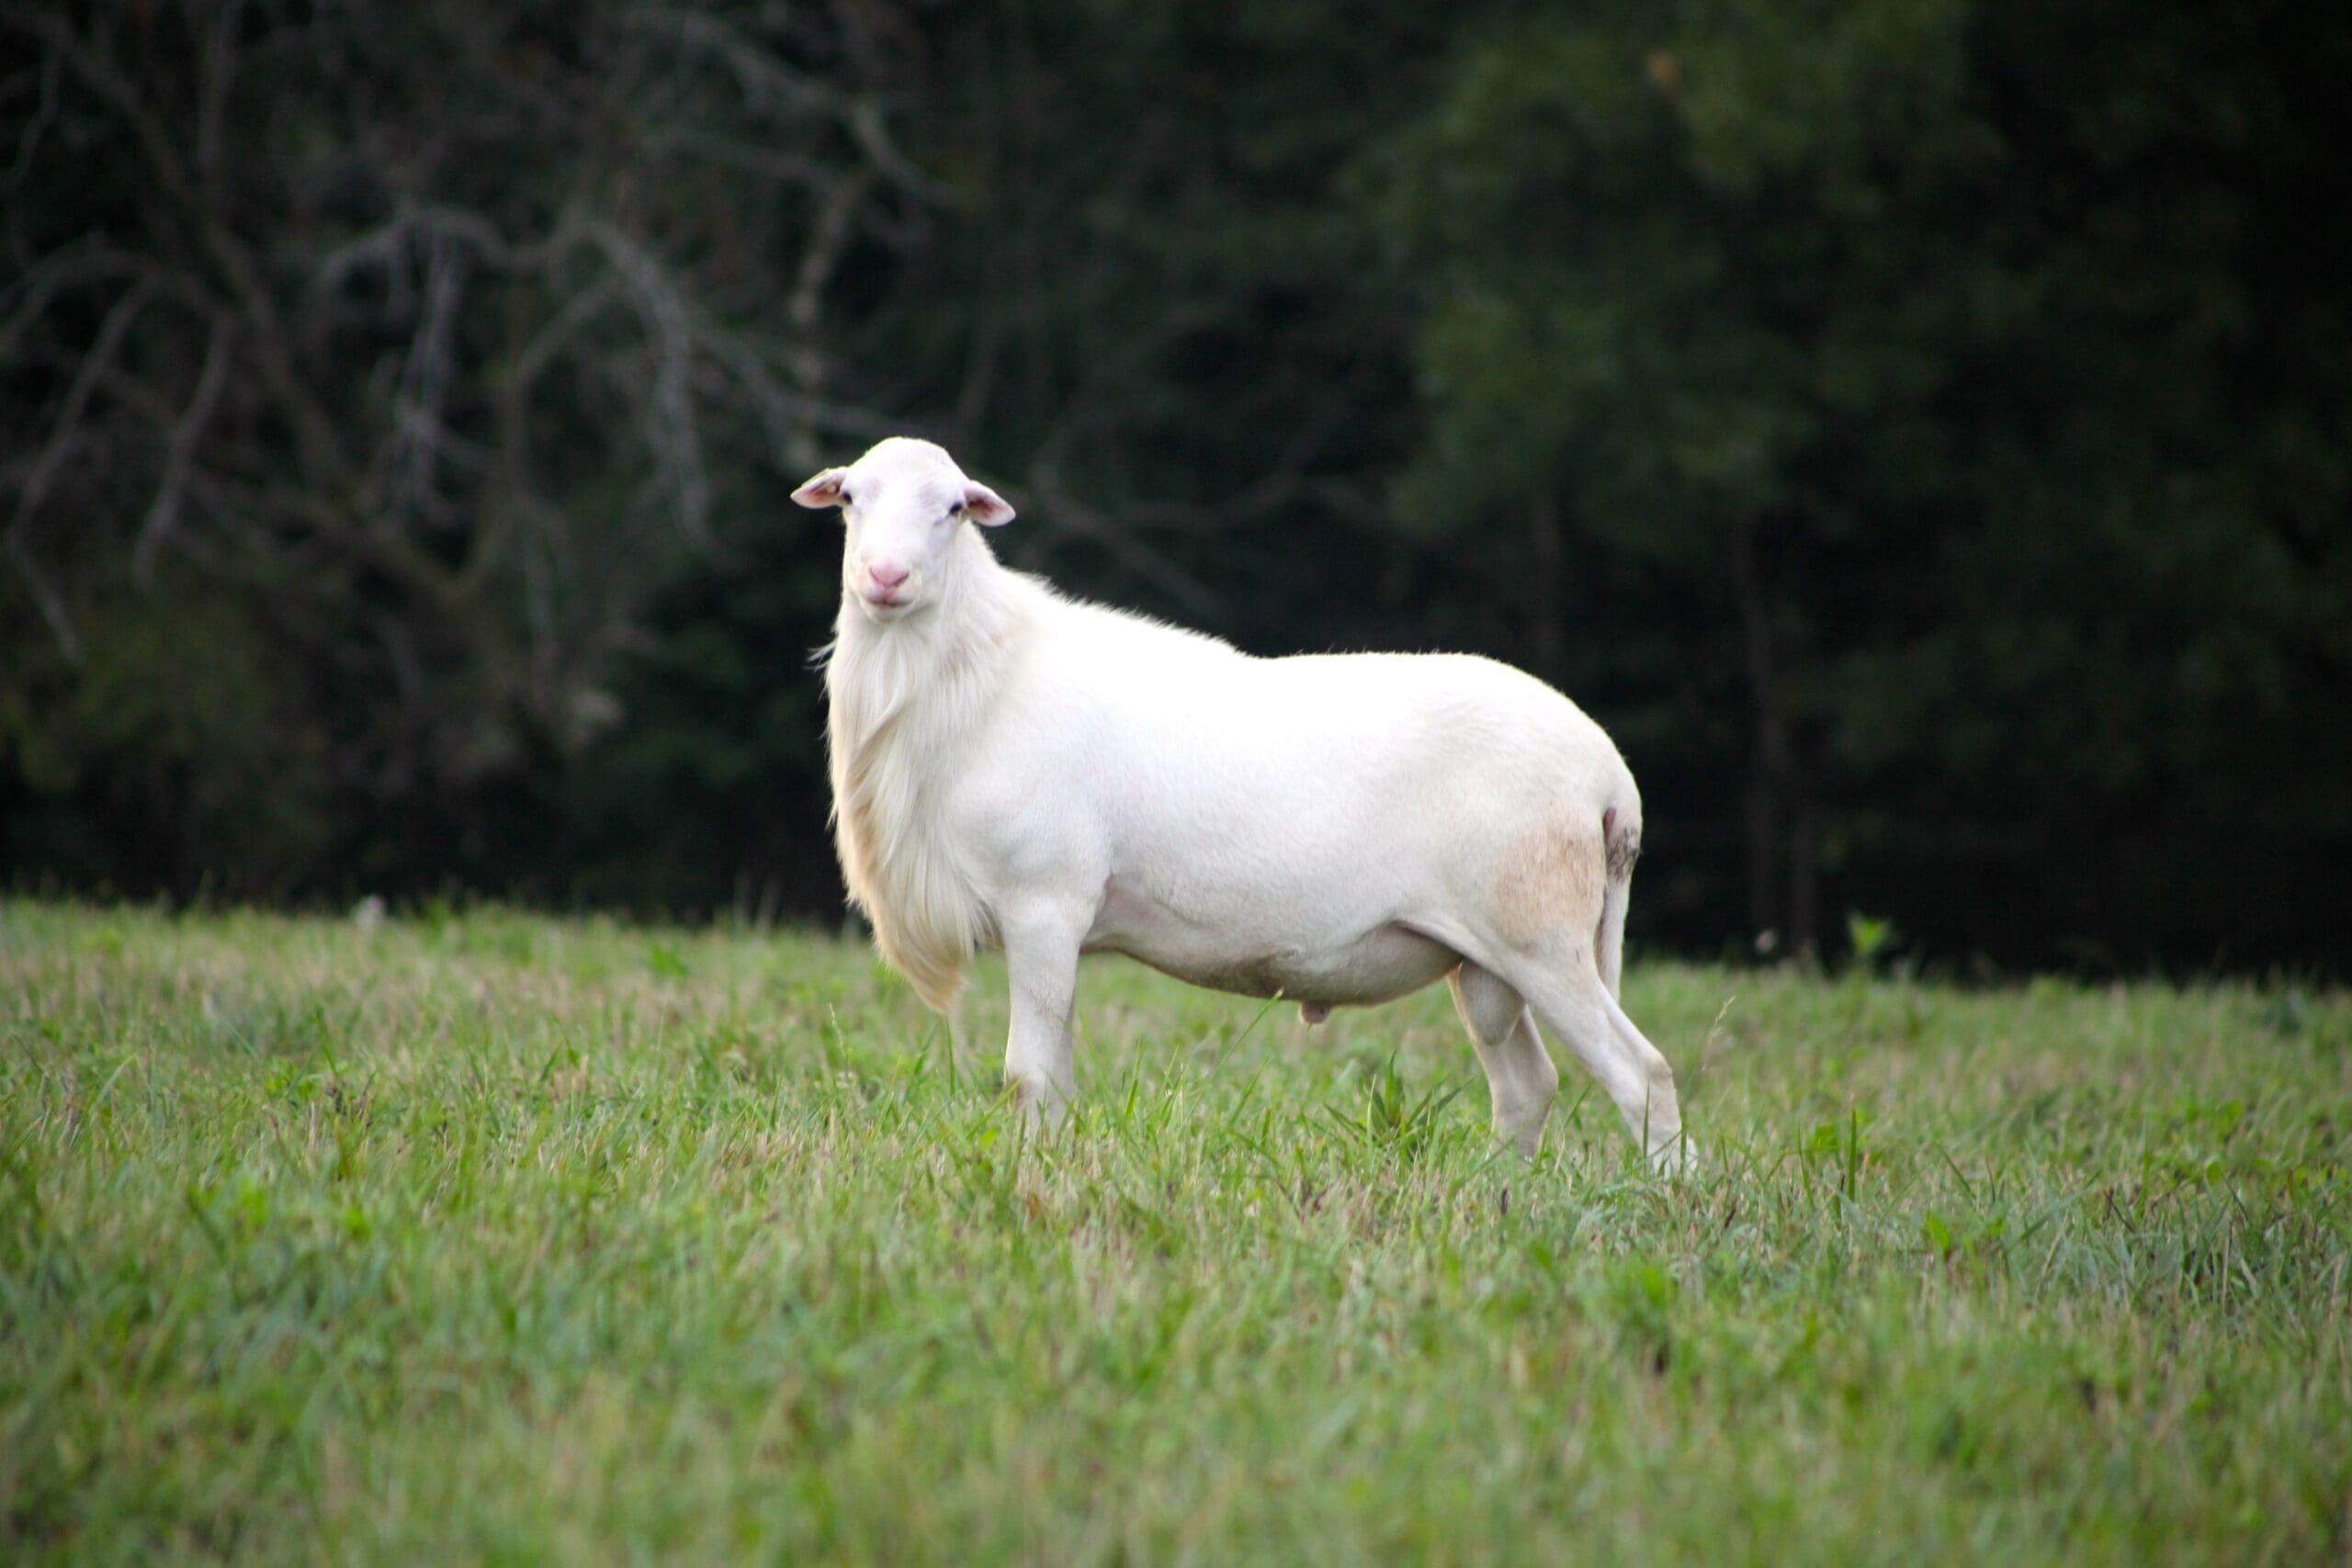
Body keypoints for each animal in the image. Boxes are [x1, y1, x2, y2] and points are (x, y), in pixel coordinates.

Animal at [799, 432, 1683, 1166]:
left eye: (953, 508)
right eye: (851, 499)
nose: (885, 578)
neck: (977, 677)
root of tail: (1611, 778)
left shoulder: (1045, 903)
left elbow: (1031, 1077)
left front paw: (1034, 1177)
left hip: (1540, 934)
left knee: (1643, 1074)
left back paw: (1667, 1199)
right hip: (1484, 958)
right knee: (1527, 1087)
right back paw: (1498, 1191)